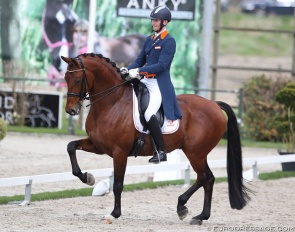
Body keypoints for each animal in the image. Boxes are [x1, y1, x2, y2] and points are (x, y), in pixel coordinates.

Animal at [61, 53, 252, 225]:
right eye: (65, 78)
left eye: (77, 80)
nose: (70, 110)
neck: (112, 103)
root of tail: (215, 104)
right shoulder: (98, 145)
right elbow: (71, 147)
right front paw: (87, 177)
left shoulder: (119, 152)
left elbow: (118, 184)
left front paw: (113, 214)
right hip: (196, 153)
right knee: (207, 179)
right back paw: (198, 215)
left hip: (195, 152)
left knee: (206, 177)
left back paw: (186, 209)